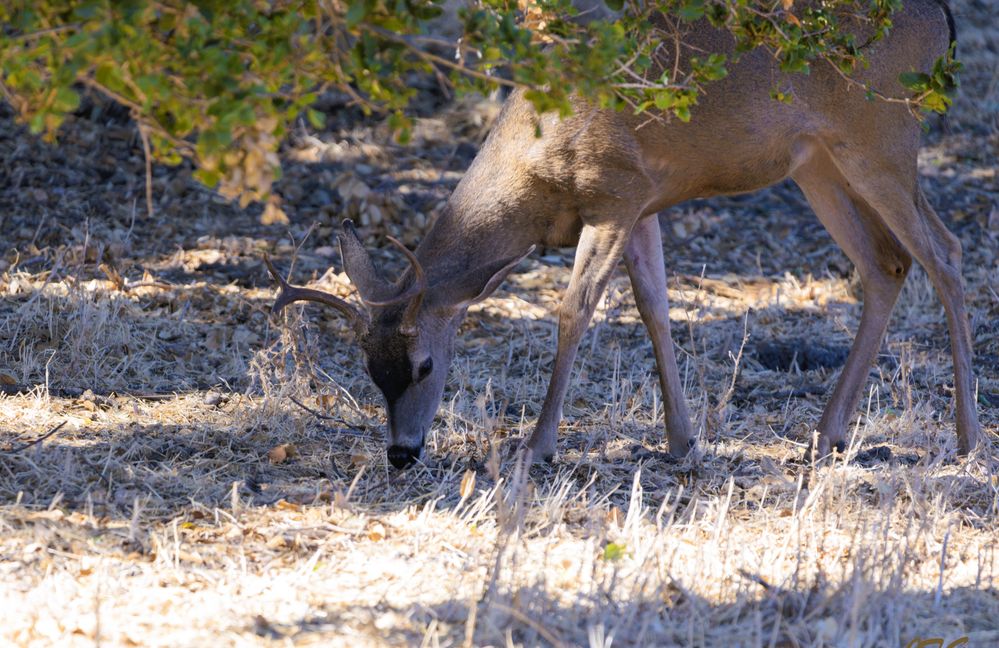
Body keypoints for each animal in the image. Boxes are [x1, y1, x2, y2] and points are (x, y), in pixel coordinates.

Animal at [264, 0, 984, 468]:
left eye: (425, 364)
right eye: (368, 369)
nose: (402, 453)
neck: (538, 162)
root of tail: (942, 19)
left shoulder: (616, 194)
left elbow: (575, 310)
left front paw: (537, 446)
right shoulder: (644, 205)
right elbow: (654, 308)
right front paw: (682, 442)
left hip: (881, 136)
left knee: (945, 254)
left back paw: (966, 438)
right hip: (817, 162)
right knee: (886, 263)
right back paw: (827, 434)